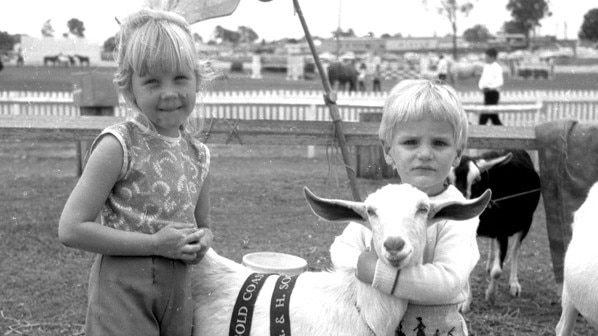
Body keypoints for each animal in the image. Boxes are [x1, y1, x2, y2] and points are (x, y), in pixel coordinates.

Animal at [450, 150, 544, 312]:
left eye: (476, 180)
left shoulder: (502, 232)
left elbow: (497, 271)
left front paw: (491, 296)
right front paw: (465, 303)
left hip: (527, 222)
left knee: (515, 250)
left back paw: (514, 284)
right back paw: (489, 263)